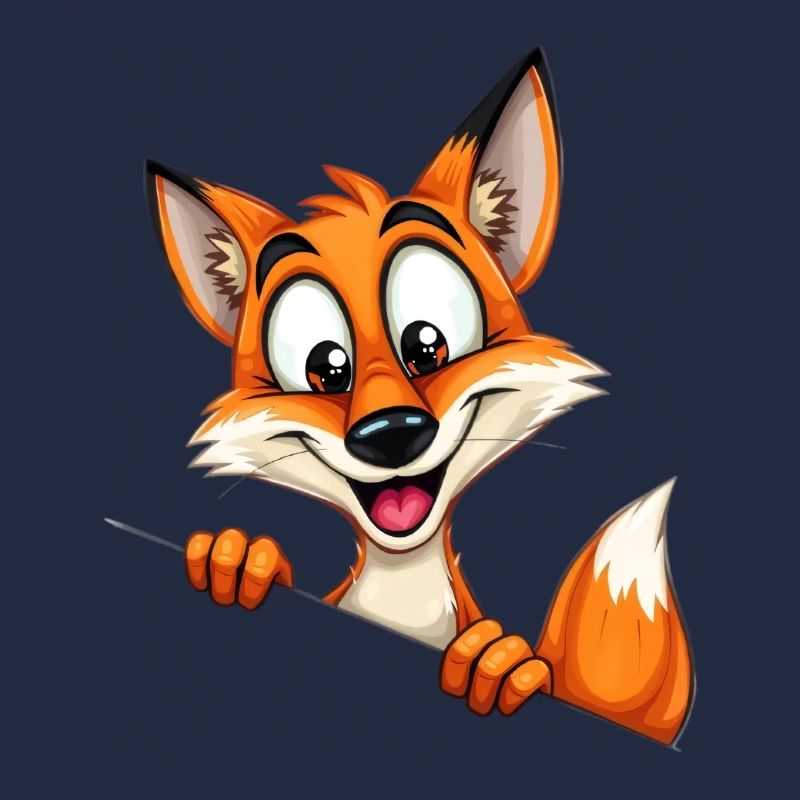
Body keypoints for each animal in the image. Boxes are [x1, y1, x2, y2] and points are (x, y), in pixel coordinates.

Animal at [145, 47, 693, 744]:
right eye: (325, 368)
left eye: (428, 345)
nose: (391, 433)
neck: (403, 600)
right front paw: (239, 558)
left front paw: (501, 660)